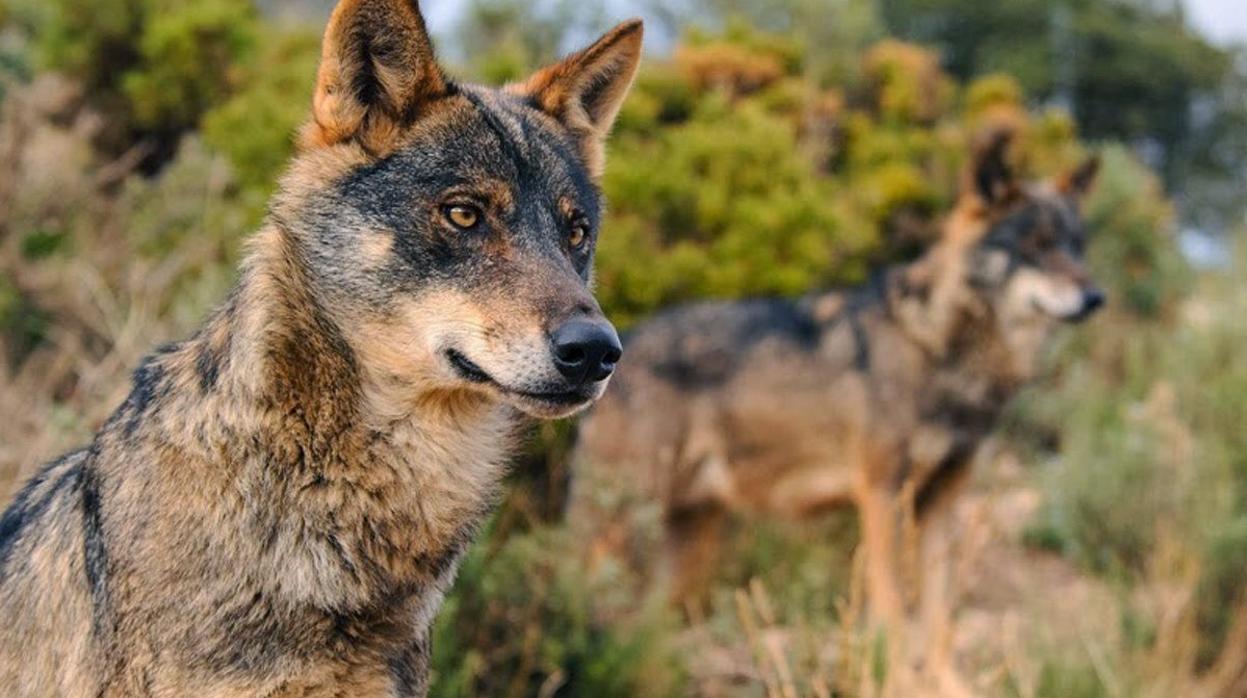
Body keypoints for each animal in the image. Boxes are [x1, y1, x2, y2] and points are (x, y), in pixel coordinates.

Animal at [571, 130, 1102, 693]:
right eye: (1036, 245)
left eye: (1077, 246)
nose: (1096, 297)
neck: (942, 350)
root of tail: (617, 349)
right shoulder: (882, 494)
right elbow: (893, 611)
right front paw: (900, 683)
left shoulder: (941, 503)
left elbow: (938, 616)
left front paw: (948, 685)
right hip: (623, 528)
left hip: (688, 544)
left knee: (642, 632)